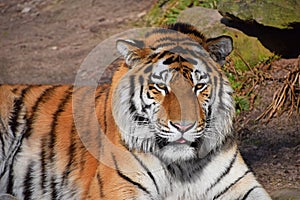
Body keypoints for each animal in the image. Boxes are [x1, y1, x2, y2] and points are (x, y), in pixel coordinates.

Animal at [0, 22, 272, 199]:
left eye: (199, 86)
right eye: (161, 87)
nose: (183, 126)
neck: (181, 168)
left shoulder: (240, 184)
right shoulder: (118, 188)